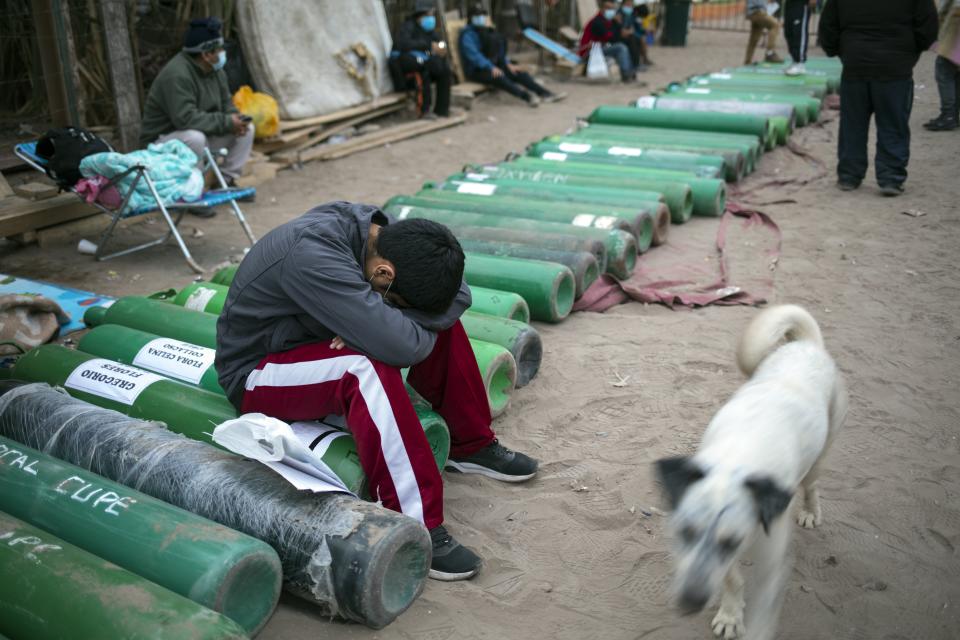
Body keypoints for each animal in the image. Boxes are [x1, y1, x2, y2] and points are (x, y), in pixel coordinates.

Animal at [652, 304, 848, 640]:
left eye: (731, 542)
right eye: (685, 532)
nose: (690, 602)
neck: (737, 460)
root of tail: (807, 345)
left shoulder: (770, 566)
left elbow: (761, 620)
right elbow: (733, 580)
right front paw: (731, 615)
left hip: (820, 455)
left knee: (812, 485)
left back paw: (811, 511)